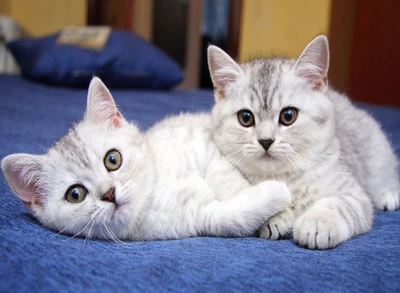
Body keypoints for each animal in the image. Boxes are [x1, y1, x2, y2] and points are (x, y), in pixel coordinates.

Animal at [0, 76, 290, 241]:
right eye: (75, 194)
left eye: (113, 159)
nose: (109, 193)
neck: (153, 192)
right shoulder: (200, 218)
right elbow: (233, 218)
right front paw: (278, 193)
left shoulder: (203, 143)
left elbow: (227, 179)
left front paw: (281, 215)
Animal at [208, 34, 398, 249]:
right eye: (245, 118)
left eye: (288, 116)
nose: (266, 141)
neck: (284, 177)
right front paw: (275, 217)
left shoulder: (354, 194)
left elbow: (337, 204)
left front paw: (317, 224)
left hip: (375, 147)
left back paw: (388, 195)